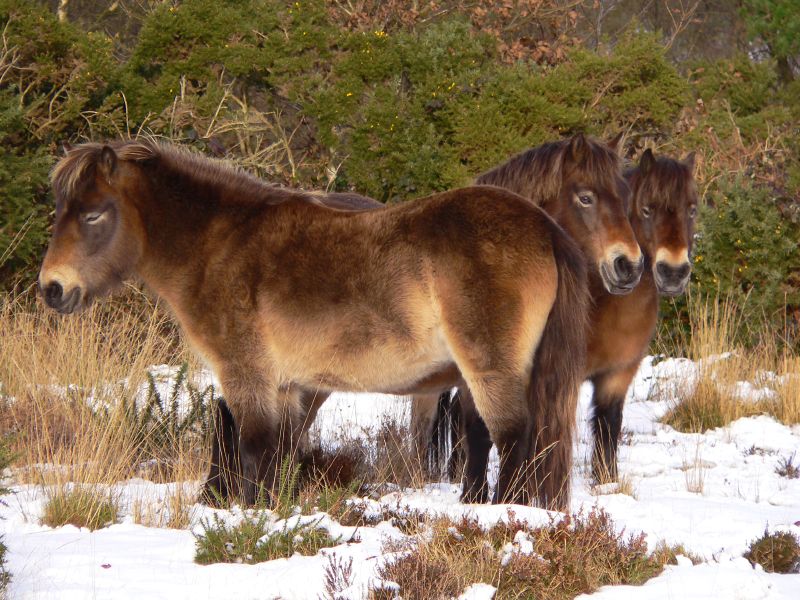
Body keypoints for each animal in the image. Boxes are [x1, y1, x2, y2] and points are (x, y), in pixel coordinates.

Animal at [39, 137, 588, 506]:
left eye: (93, 215)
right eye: (62, 209)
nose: (52, 288)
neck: (220, 246)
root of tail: (543, 226)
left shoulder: (248, 377)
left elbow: (254, 450)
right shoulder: (287, 387)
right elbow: (277, 456)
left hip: (490, 371)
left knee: (514, 440)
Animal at [428, 149, 696, 496]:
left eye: (692, 209)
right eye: (647, 210)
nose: (673, 272)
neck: (607, 307)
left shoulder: (618, 374)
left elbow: (608, 428)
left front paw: (606, 482)